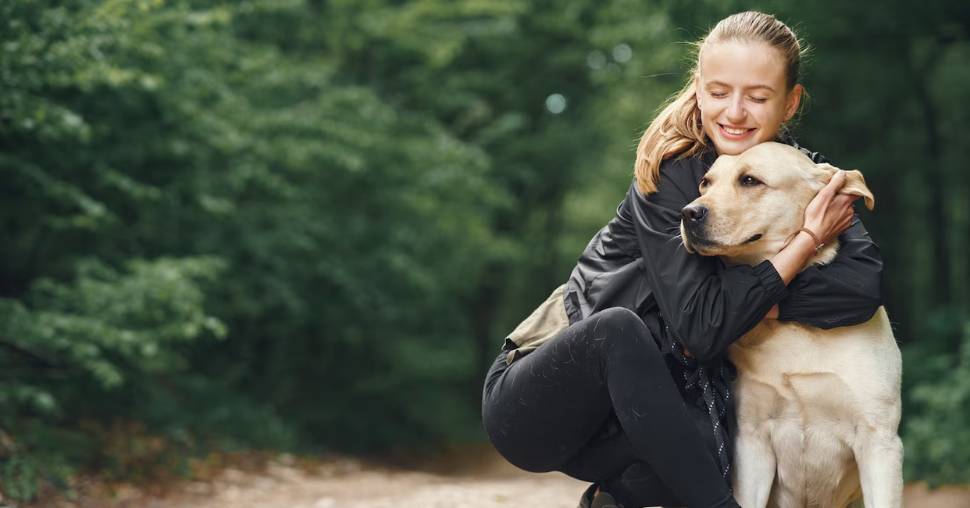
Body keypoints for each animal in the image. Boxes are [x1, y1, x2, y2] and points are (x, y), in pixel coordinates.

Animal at [680, 142, 900, 508]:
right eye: (705, 184)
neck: (795, 326)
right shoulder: (751, 440)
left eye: (750, 180)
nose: (688, 214)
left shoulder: (879, 442)